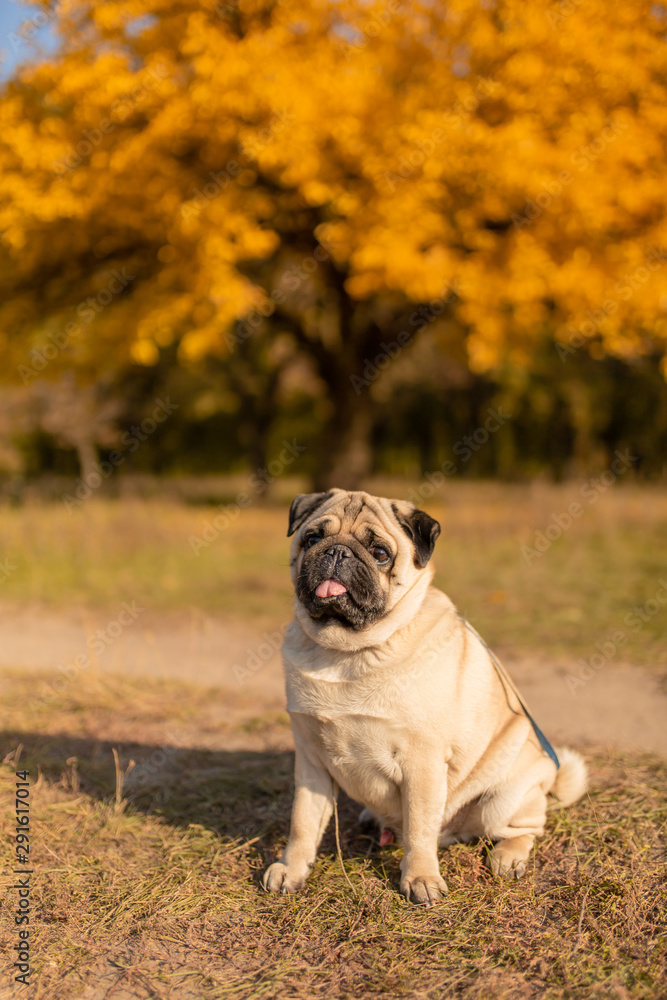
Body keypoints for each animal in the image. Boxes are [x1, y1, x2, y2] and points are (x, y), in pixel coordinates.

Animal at [264, 490, 588, 908]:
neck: (347, 651)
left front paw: (420, 878)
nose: (337, 551)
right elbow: (303, 822)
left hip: (504, 800)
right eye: (312, 538)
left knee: (526, 828)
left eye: (380, 553)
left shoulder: (422, 762)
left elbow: (419, 828)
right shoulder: (311, 761)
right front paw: (291, 868)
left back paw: (508, 856)